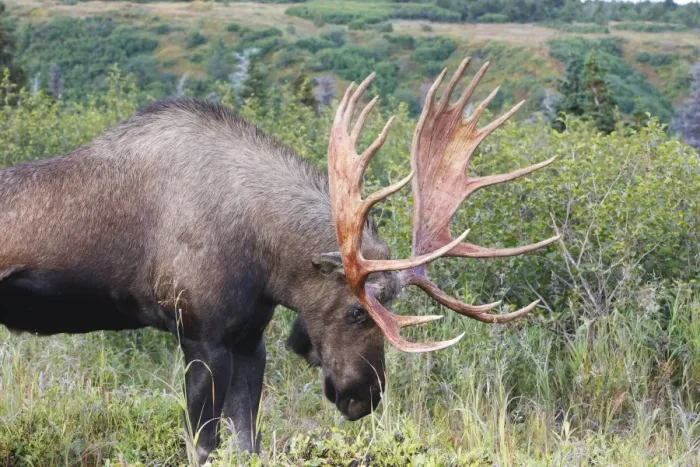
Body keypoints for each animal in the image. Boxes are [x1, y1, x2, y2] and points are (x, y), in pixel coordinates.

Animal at [0, 58, 558, 464]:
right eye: (356, 312)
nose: (364, 399)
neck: (266, 261)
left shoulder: (251, 340)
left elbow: (249, 442)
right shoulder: (201, 336)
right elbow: (203, 445)